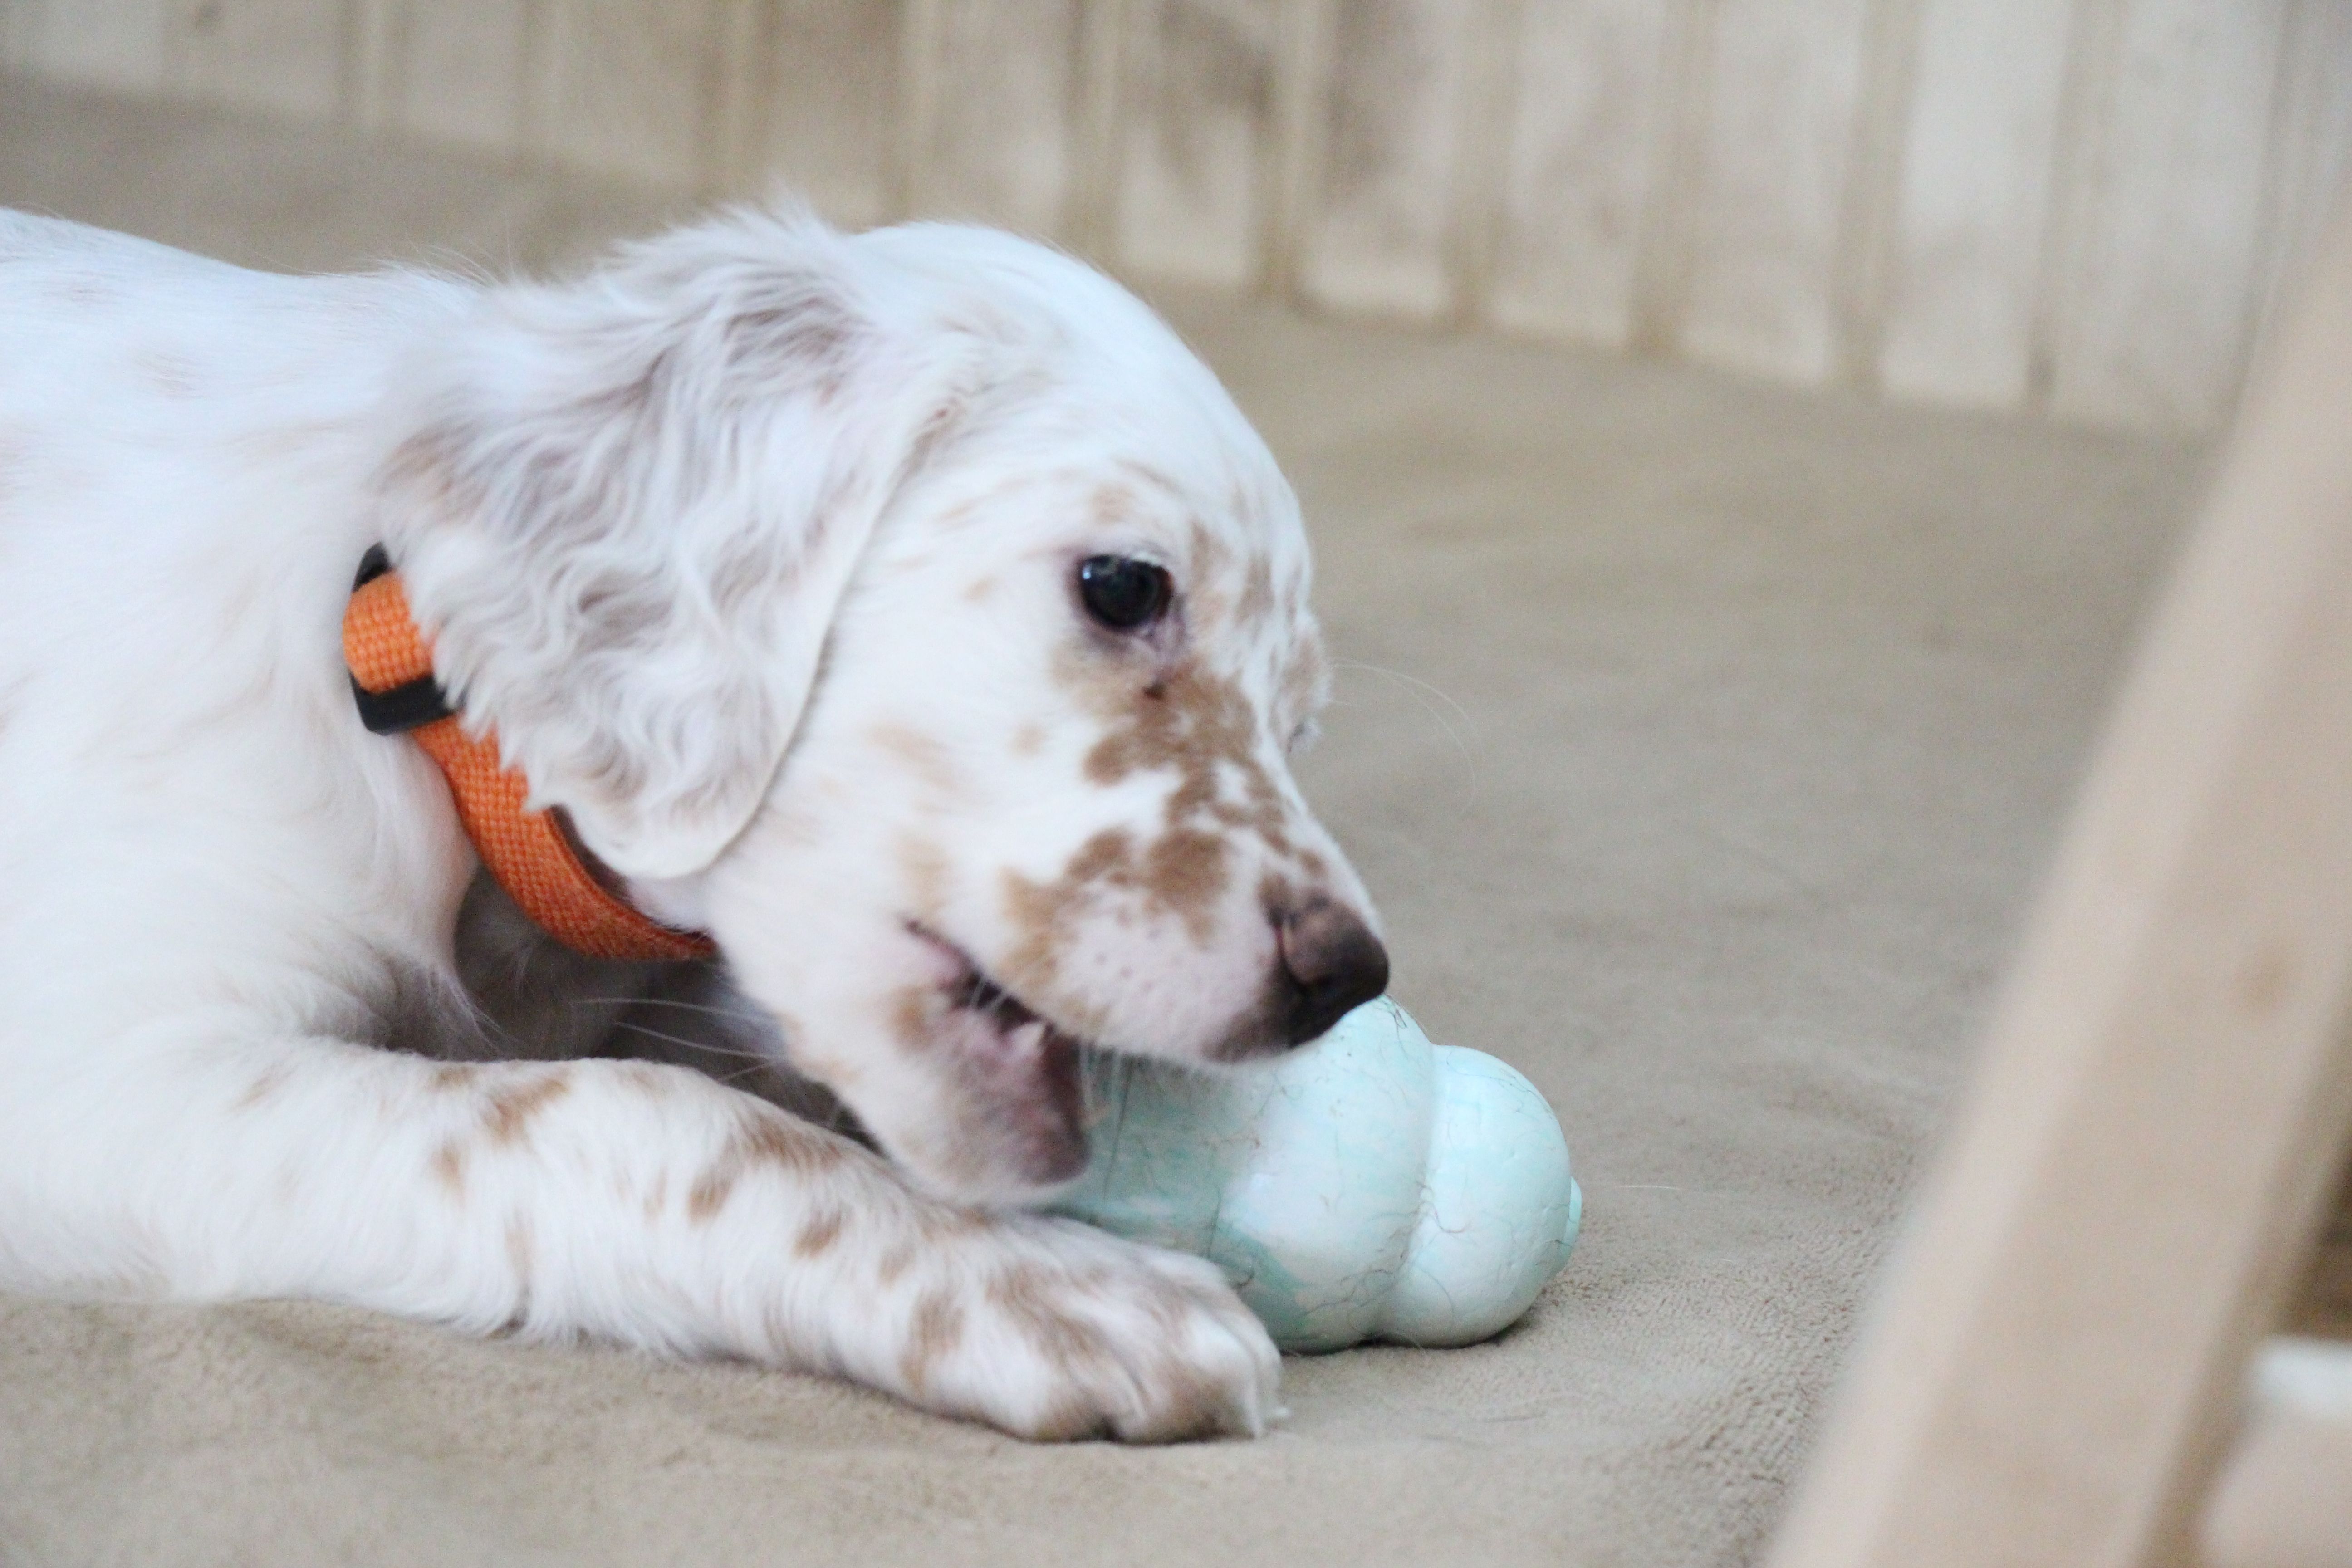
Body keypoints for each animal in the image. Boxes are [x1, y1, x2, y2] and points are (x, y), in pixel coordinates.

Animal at [0, 204, 1388, 1441]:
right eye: (1122, 587)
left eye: (1301, 723)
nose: (1348, 977)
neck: (402, 675)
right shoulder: (91, 1073)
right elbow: (644, 1114)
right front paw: (1066, 1291)